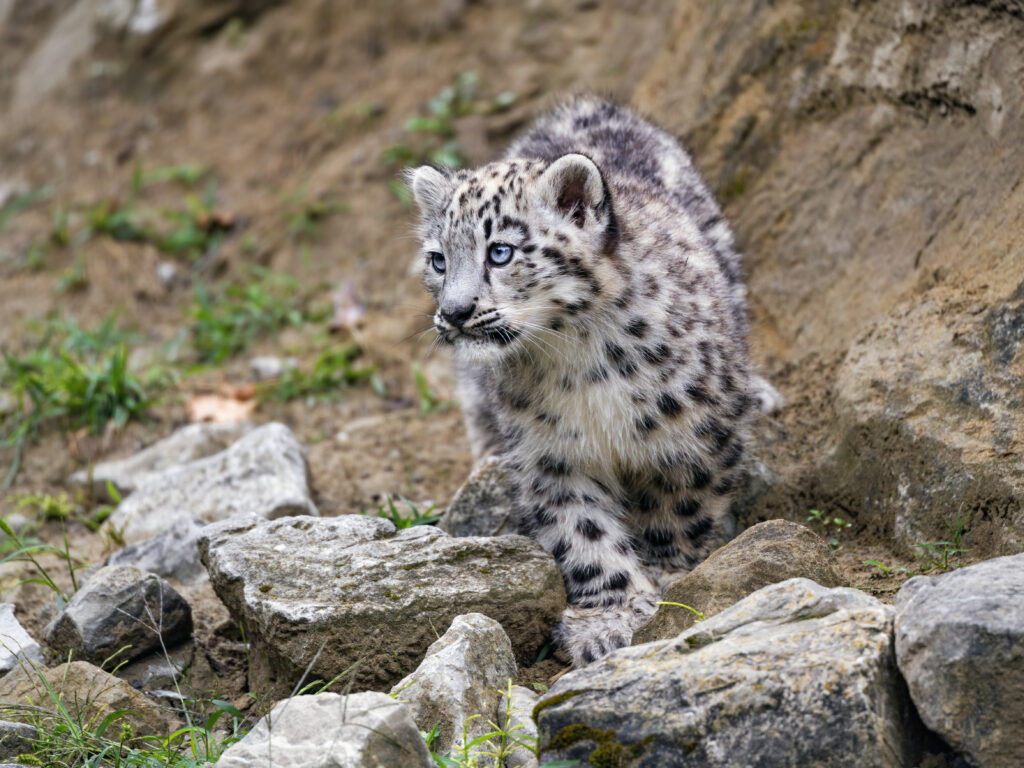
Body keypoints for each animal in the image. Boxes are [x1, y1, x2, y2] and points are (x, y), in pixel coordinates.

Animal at [408, 97, 780, 666]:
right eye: (439, 260)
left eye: (500, 251)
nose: (454, 312)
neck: (575, 359)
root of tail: (586, 105)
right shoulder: (550, 453)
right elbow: (583, 533)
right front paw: (609, 618)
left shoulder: (693, 432)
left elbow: (680, 507)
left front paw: (666, 573)